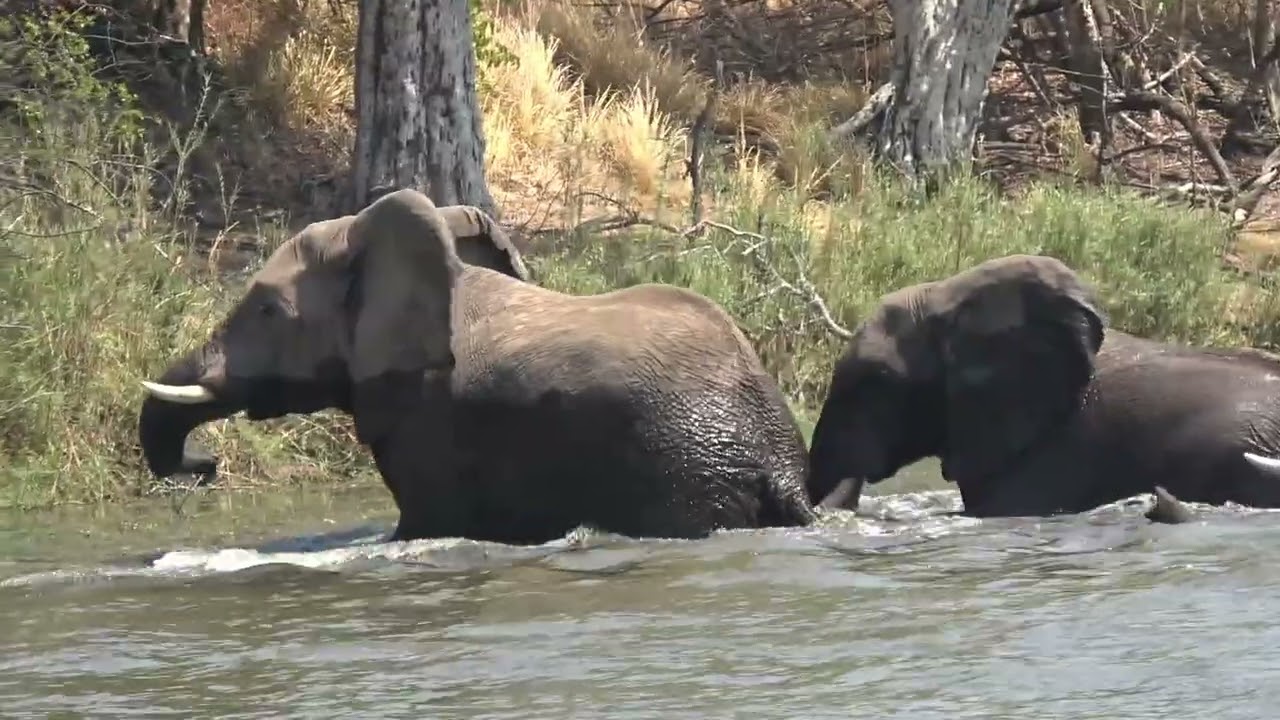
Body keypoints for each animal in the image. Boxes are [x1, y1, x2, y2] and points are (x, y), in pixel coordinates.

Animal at [137, 188, 820, 544]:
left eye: (267, 309)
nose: (206, 467)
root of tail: (782, 462)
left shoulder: (427, 417)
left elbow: (420, 523)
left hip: (681, 475)